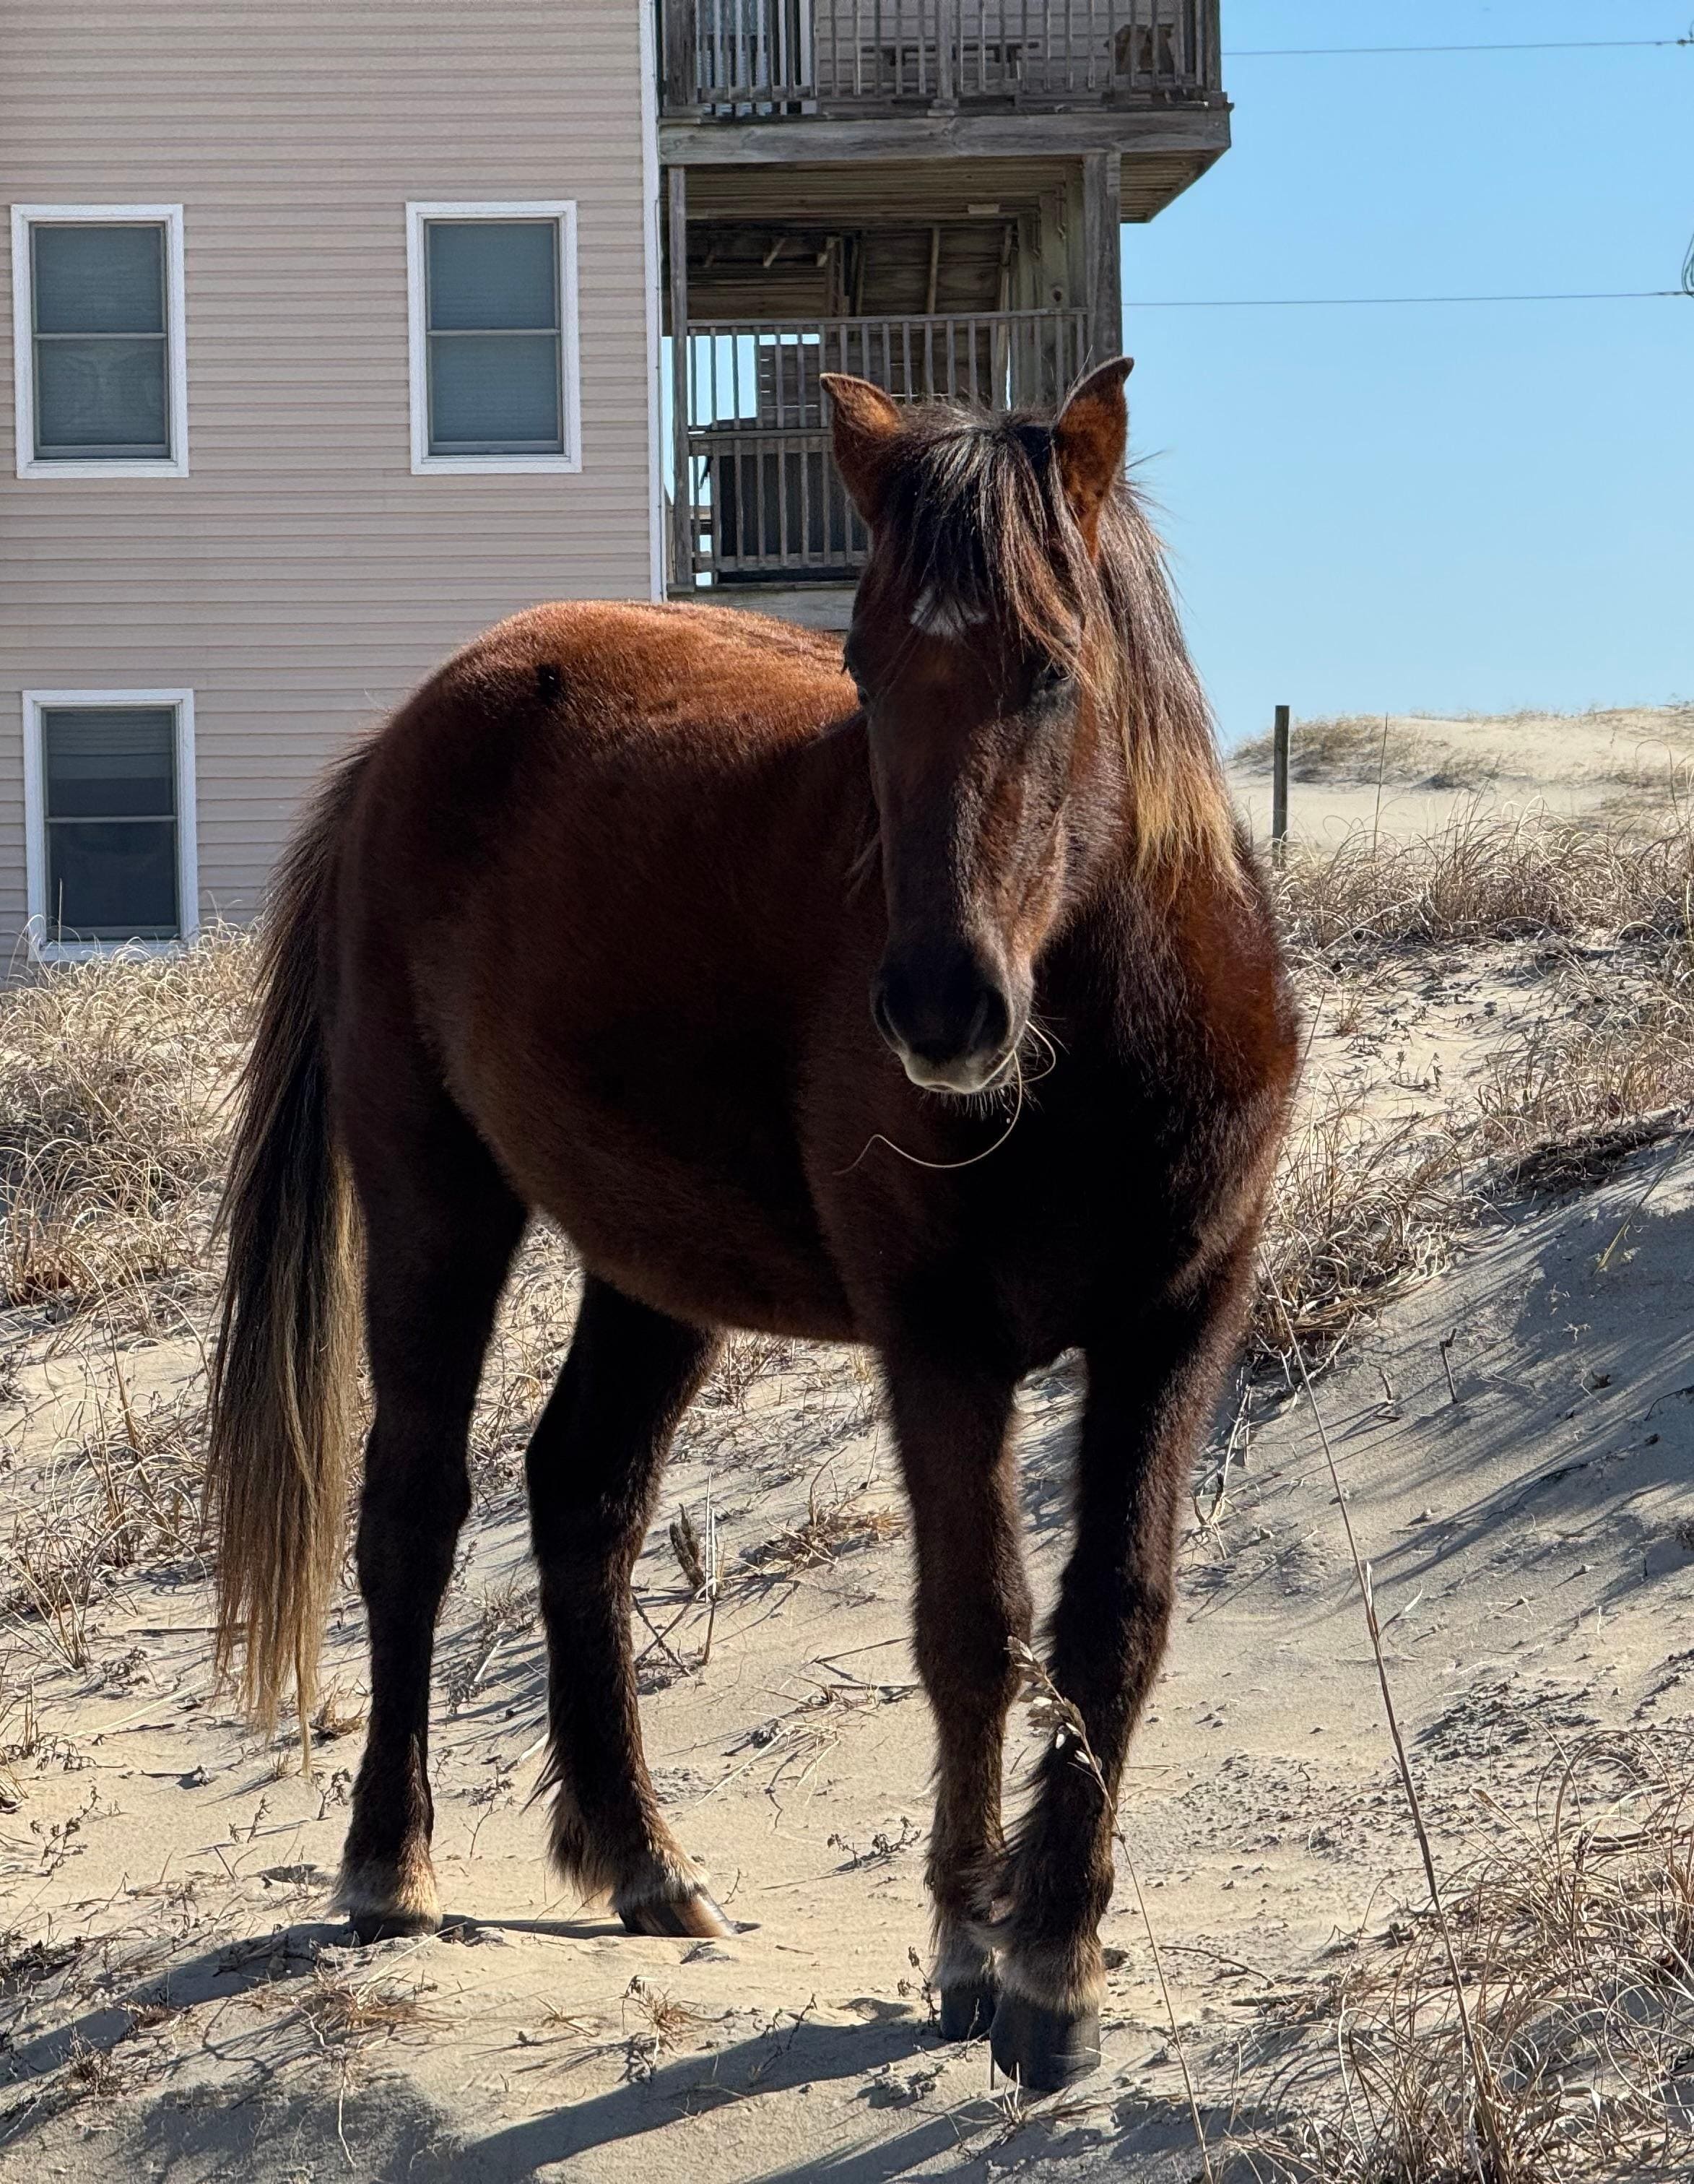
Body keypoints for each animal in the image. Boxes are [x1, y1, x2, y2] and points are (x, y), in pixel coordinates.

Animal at [206, 359, 1298, 2093]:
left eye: (1051, 670)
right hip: (438, 1202)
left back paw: (643, 1860)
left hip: (652, 1270)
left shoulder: (1179, 1326)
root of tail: (406, 738)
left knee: (582, 1499)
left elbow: (1114, 1625)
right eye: (859, 663)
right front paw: (972, 1946)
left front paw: (1060, 1967)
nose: (940, 1008)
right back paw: (391, 1866)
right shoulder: (941, 1348)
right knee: (415, 1510)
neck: (1104, 1045)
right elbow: (974, 1629)